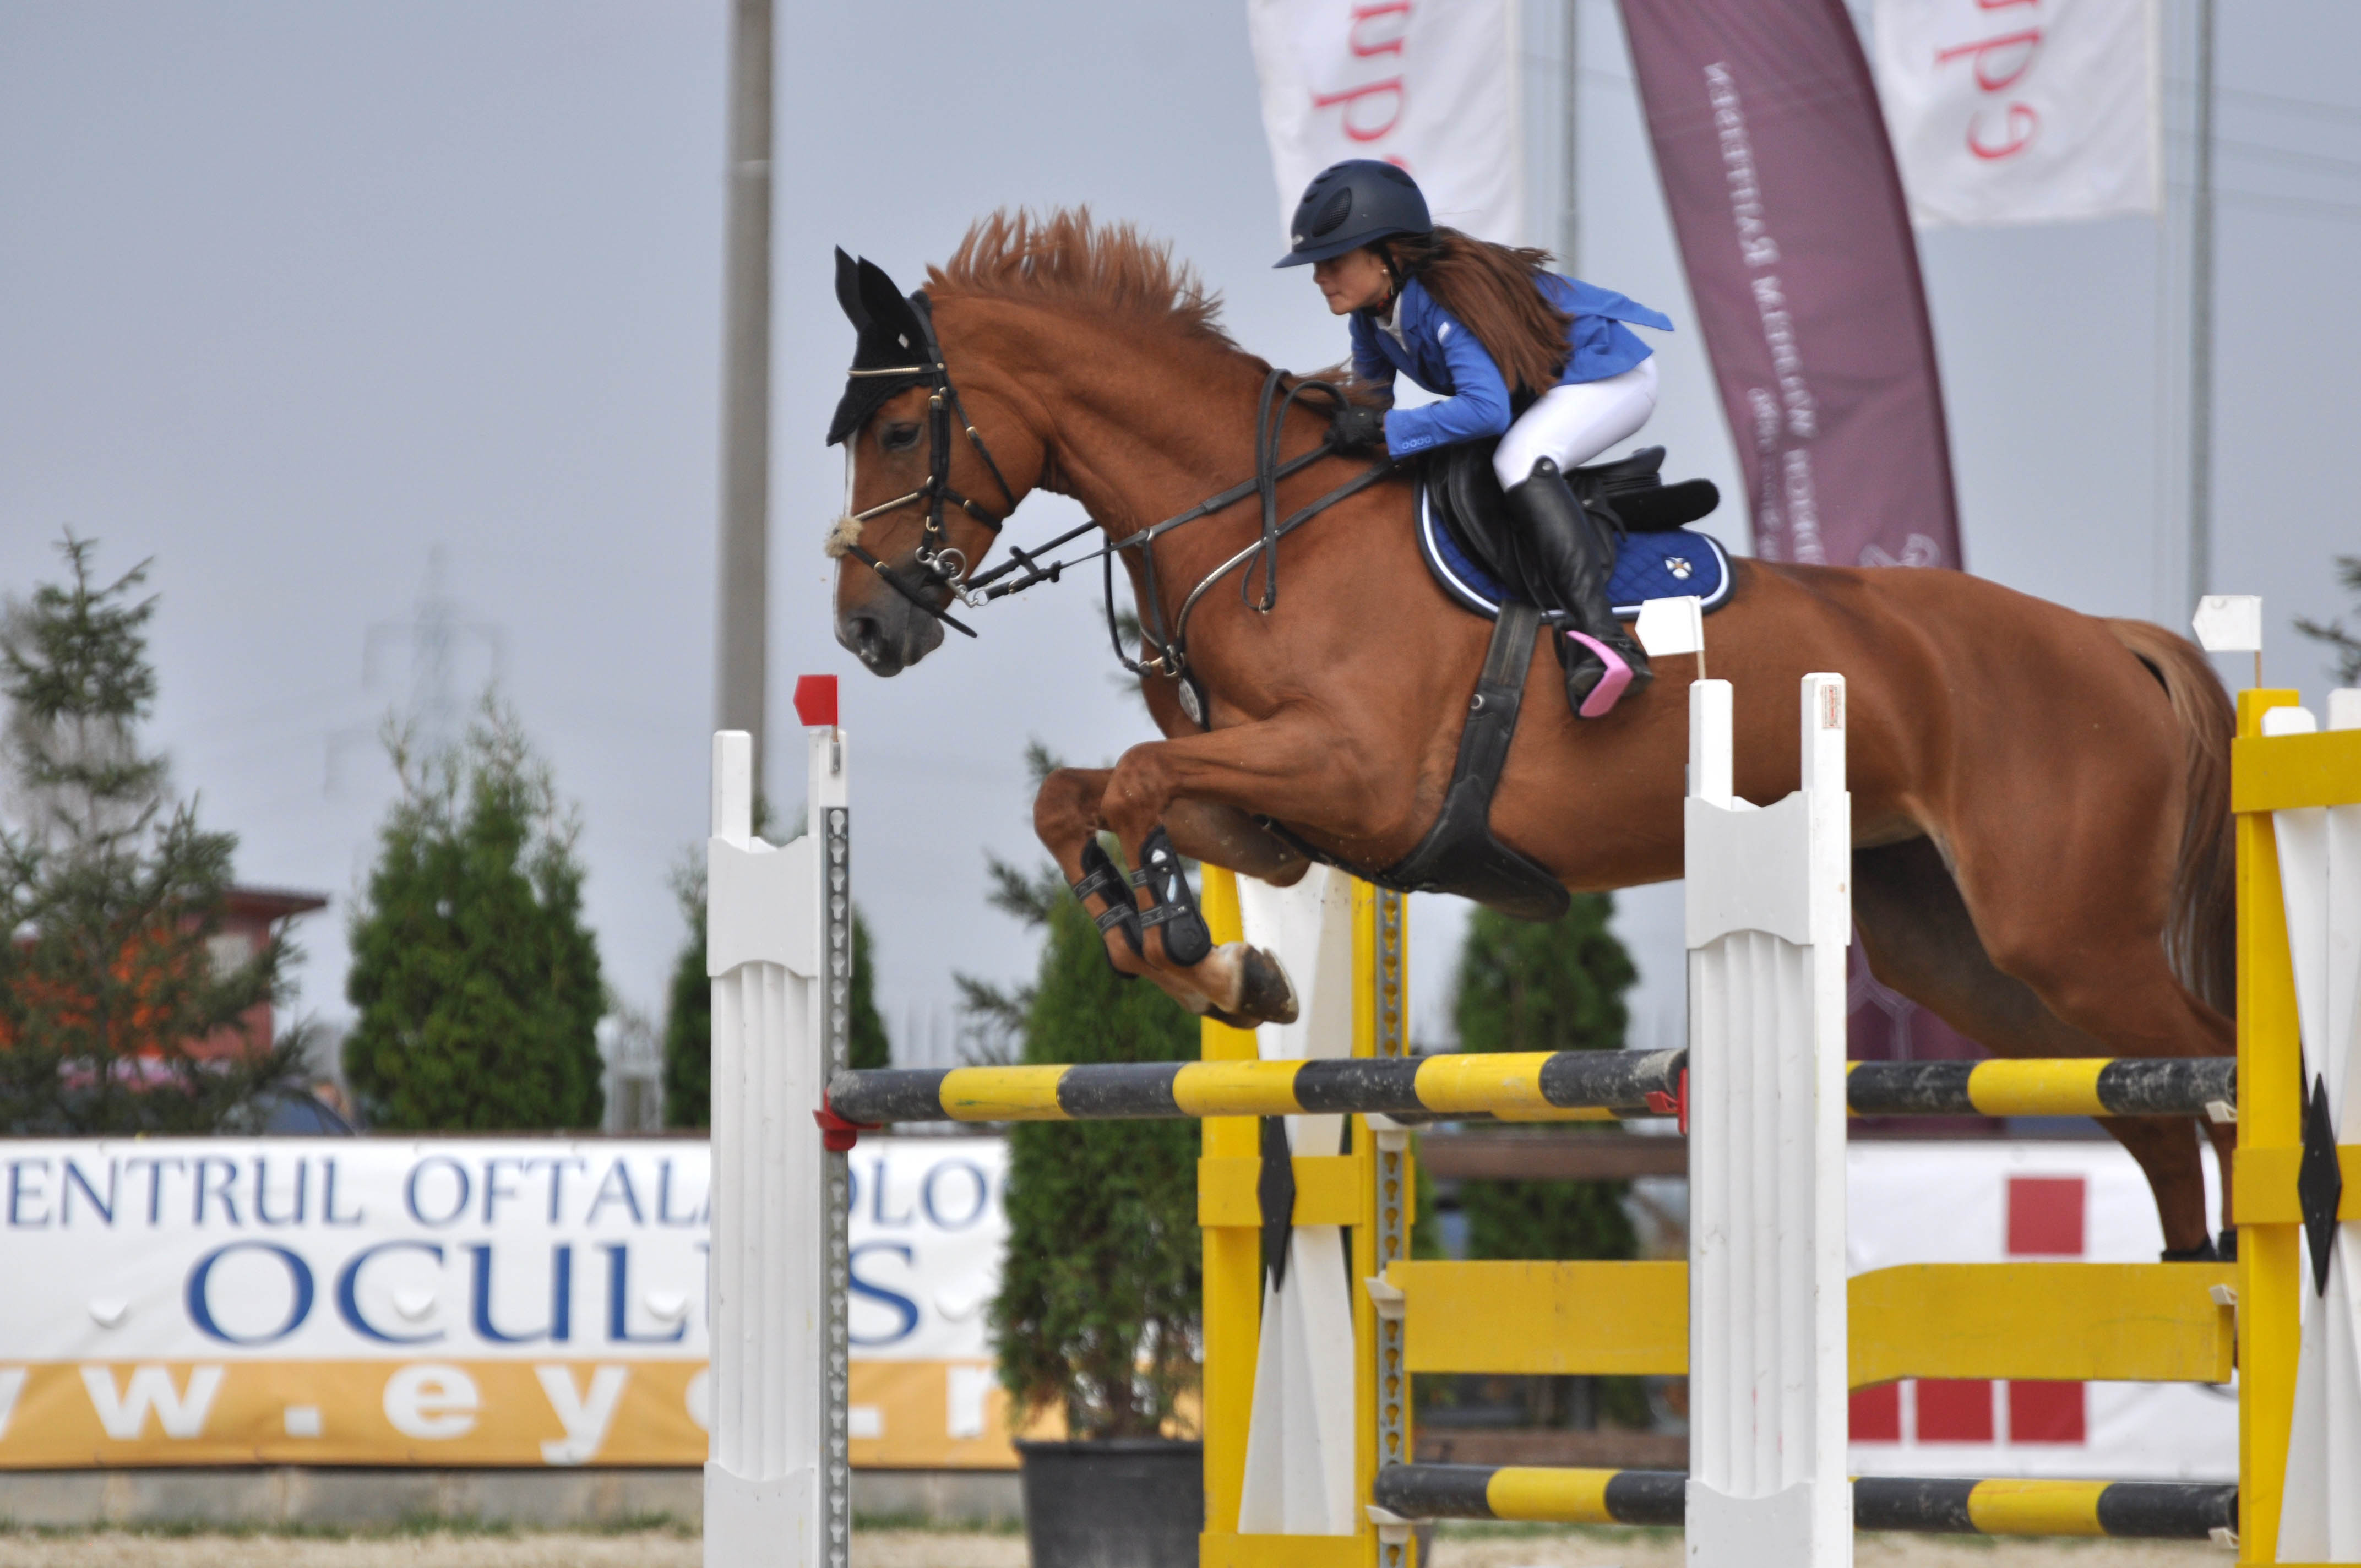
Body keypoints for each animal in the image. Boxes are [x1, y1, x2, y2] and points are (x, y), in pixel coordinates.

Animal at [840, 211, 2238, 1265]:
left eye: (901, 431)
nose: (862, 623)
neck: (1262, 528)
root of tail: (2113, 642)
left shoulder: (1351, 774)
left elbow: (1129, 779)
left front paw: (1187, 935)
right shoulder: (1281, 818)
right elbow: (1079, 795)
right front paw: (1224, 967)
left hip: (2067, 928)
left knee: (2206, 1067)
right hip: (1959, 947)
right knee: (2140, 1104)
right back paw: (2190, 1299)